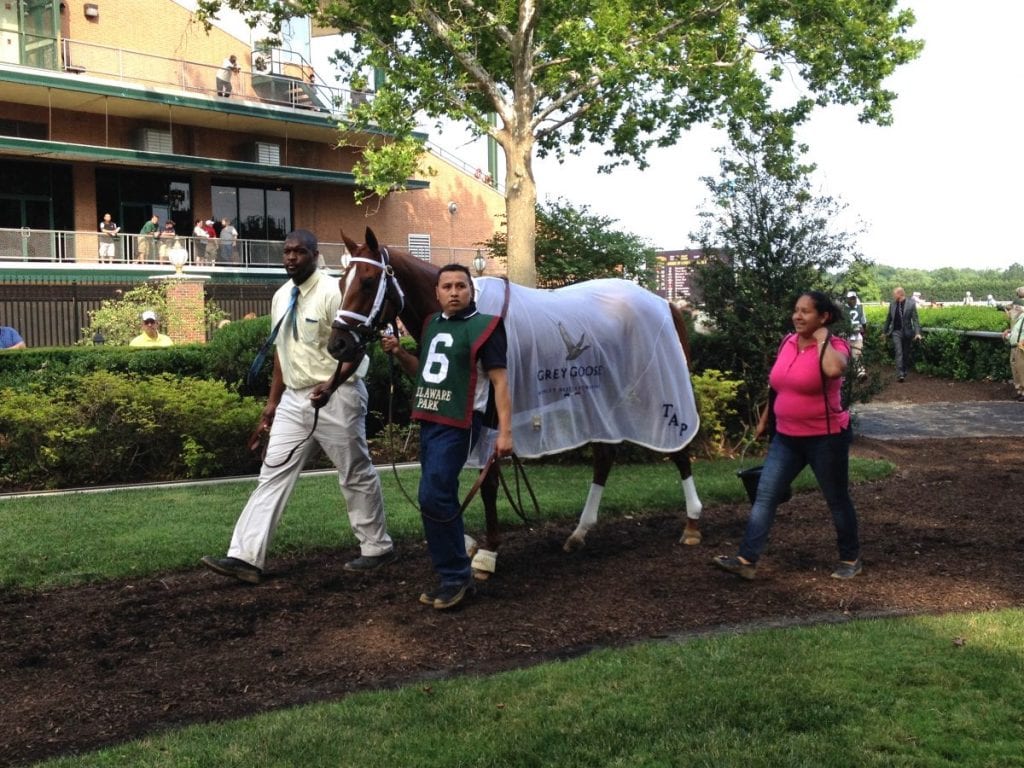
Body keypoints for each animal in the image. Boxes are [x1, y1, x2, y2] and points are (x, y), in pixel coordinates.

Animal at [327, 231, 704, 581]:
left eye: (367, 281)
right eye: (342, 281)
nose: (338, 344)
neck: (467, 314)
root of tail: (663, 303)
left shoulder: (493, 416)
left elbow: (488, 484)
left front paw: (489, 552)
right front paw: (467, 540)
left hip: (658, 389)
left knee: (678, 448)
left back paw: (691, 523)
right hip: (602, 398)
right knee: (604, 456)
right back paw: (579, 533)